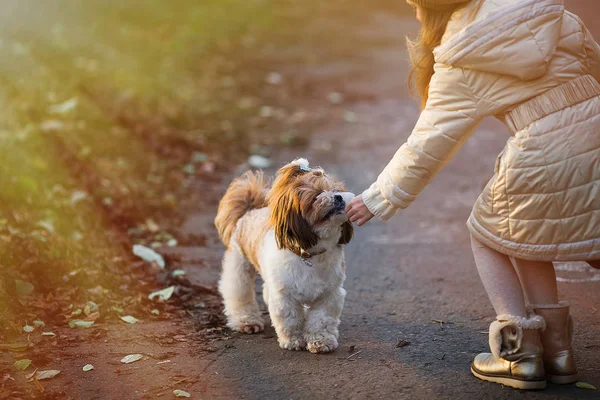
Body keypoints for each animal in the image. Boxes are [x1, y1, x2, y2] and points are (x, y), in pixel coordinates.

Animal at [216, 159, 354, 354]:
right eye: (316, 196)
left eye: (336, 190)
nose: (338, 197)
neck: (310, 255)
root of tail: (252, 209)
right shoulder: (285, 297)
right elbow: (291, 320)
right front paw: (294, 340)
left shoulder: (329, 294)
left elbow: (321, 320)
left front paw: (321, 341)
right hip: (239, 266)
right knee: (238, 292)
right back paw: (246, 320)